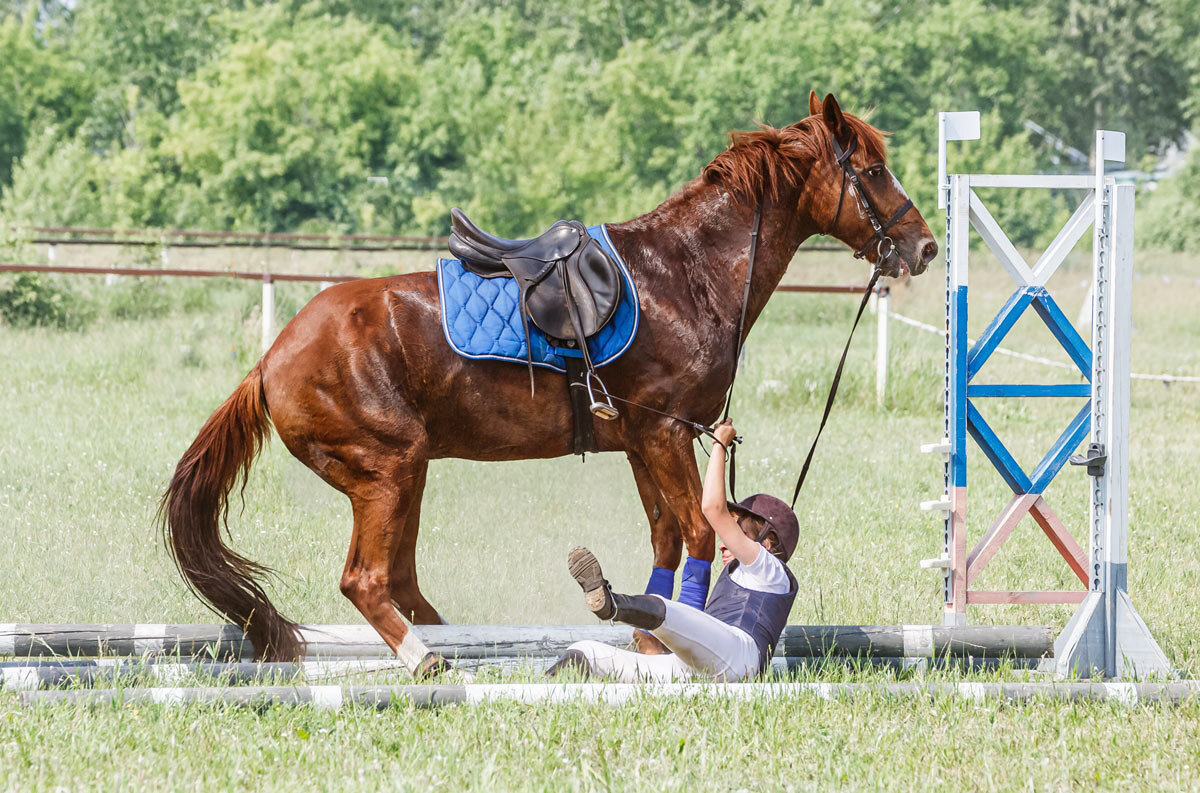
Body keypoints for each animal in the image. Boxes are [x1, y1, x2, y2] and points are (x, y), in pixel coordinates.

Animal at [159, 95, 936, 671]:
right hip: (386, 469)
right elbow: (698, 532)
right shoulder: (665, 433)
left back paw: (457, 645)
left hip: (406, 474)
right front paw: (671, 640)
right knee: (367, 578)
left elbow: (664, 537)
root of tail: (271, 358)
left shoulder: (645, 442)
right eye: (873, 170)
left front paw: (649, 632)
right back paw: (425, 659)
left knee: (401, 578)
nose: (924, 247)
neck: (684, 273)